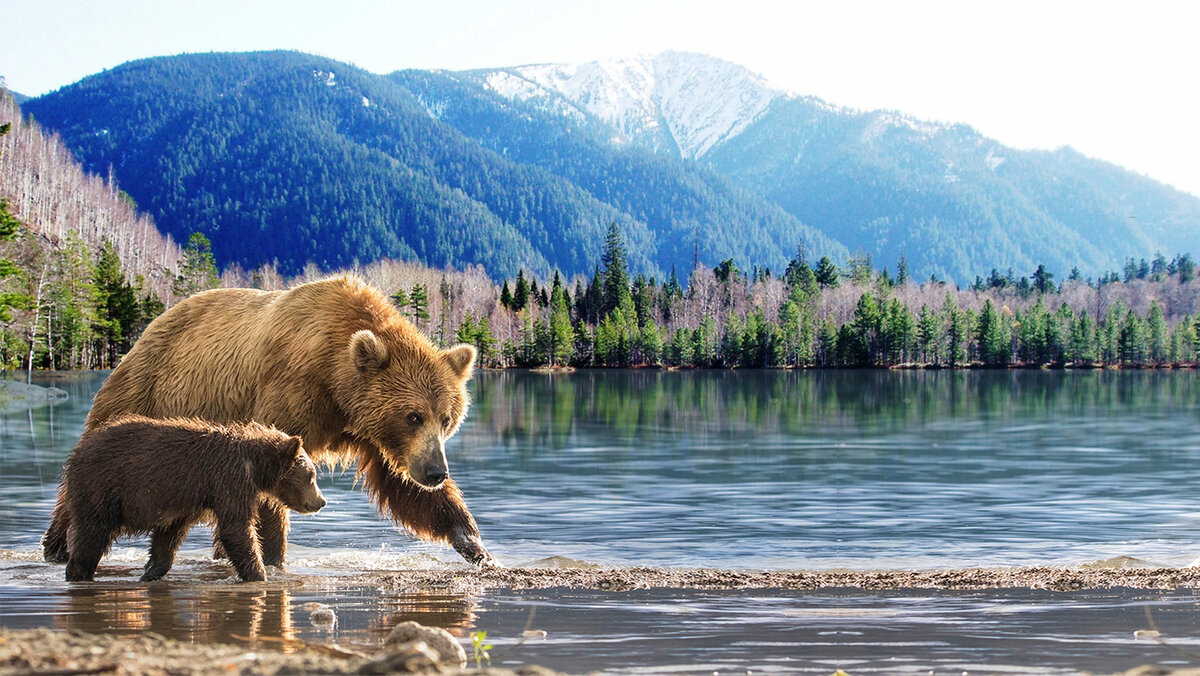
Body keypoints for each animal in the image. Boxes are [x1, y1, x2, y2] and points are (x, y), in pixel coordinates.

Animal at [41, 273, 492, 566]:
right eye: (413, 415)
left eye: (446, 418)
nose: (436, 471)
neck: (337, 380)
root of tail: (148, 329)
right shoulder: (292, 393)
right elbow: (275, 486)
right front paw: (275, 557)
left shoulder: (370, 432)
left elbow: (404, 487)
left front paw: (475, 545)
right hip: (143, 393)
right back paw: (58, 545)